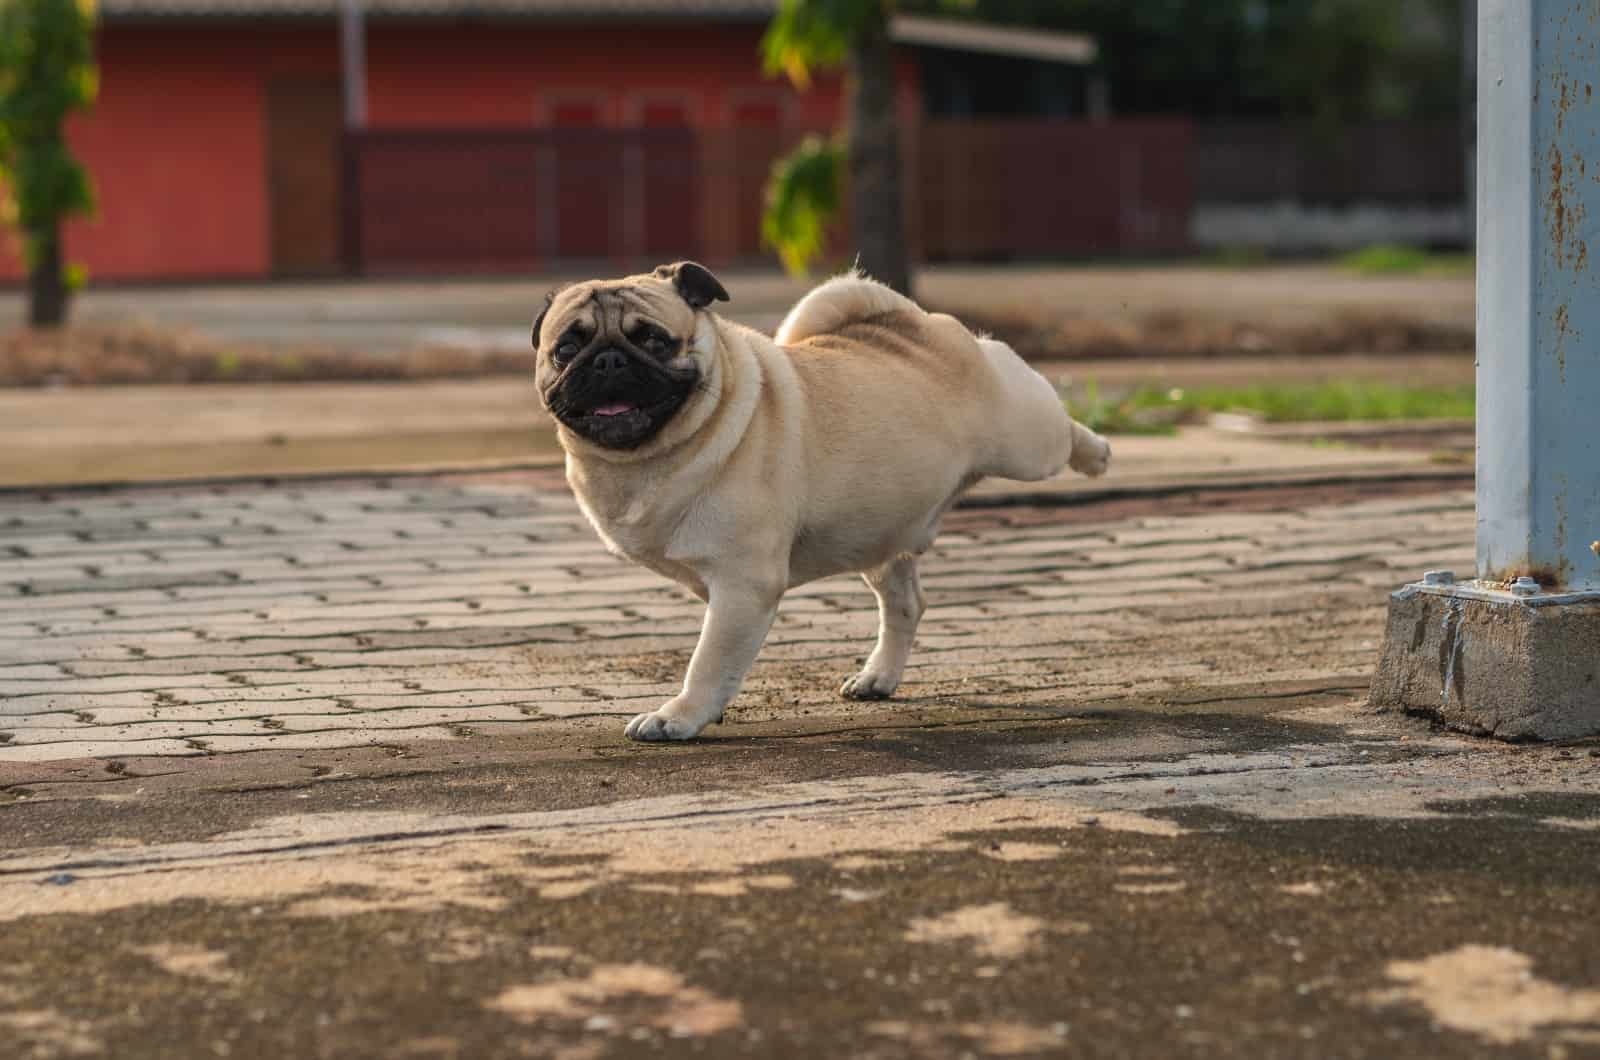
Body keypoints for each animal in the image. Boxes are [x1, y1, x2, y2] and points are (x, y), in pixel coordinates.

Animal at [531, 260, 1107, 742]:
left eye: (654, 340)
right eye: (566, 349)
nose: (607, 360)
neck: (644, 461)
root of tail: (911, 323)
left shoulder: (742, 585)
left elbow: (709, 659)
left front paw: (680, 717)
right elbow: (719, 657)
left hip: (1027, 443)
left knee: (1060, 427)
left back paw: (1097, 453)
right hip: (878, 532)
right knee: (905, 604)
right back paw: (878, 677)